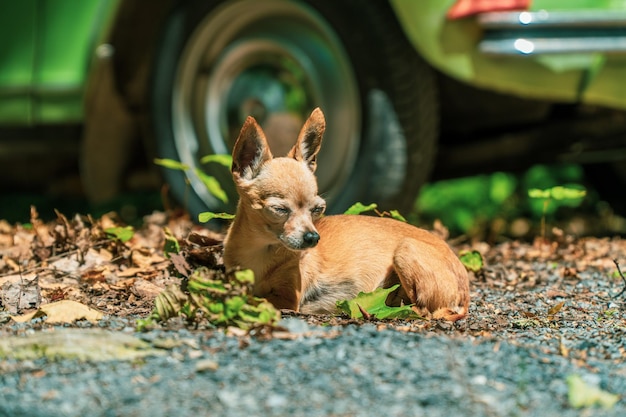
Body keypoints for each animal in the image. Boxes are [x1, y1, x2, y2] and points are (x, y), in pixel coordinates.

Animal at [222, 109, 466, 320]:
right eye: (280, 210)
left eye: (317, 210)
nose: (313, 237)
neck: (261, 251)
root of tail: (465, 287)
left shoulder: (287, 298)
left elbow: (258, 299)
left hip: (405, 250)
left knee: (423, 309)